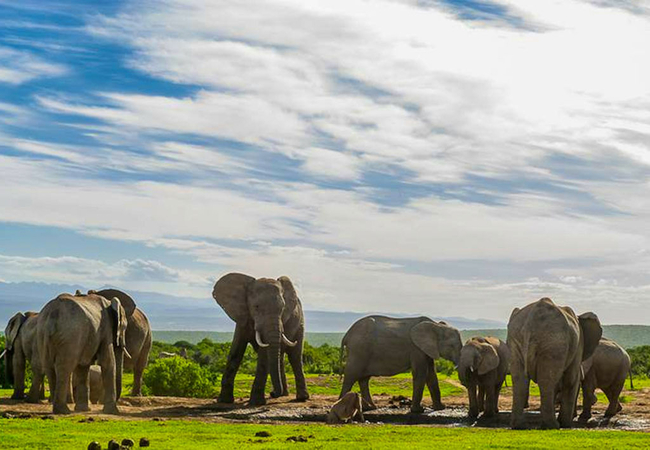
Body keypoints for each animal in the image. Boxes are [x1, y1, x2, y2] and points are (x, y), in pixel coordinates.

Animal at [212, 273, 309, 405]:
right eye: (256, 307)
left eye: (282, 308)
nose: (273, 394)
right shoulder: (243, 316)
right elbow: (236, 351)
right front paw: (224, 401)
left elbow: (264, 355)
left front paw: (256, 402)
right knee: (281, 358)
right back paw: (283, 394)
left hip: (300, 324)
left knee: (295, 357)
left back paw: (301, 398)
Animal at [507, 297, 602, 429]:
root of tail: (532, 319)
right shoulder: (579, 343)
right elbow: (571, 379)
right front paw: (566, 425)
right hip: (554, 341)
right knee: (547, 380)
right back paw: (552, 425)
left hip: (515, 340)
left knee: (520, 380)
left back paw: (520, 426)